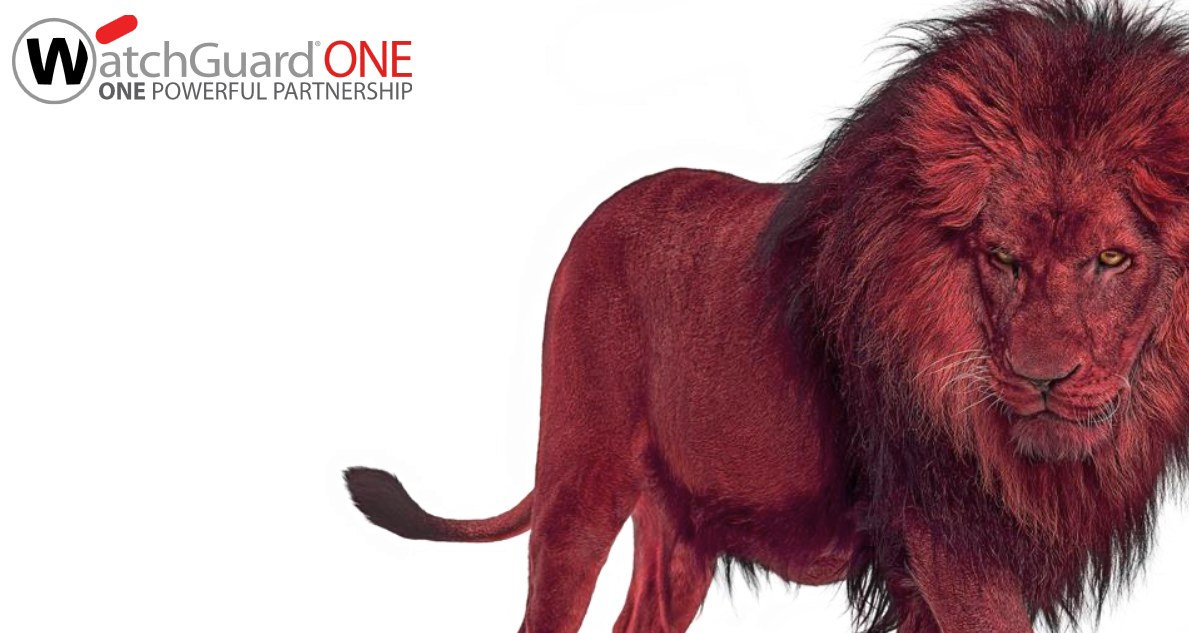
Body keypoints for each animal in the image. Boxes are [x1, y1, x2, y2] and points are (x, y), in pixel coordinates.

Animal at [344, 1, 1189, 631]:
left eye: (1111, 258)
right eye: (1003, 257)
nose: (1040, 380)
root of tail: (595, 218)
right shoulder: (950, 546)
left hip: (679, 528)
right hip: (579, 480)